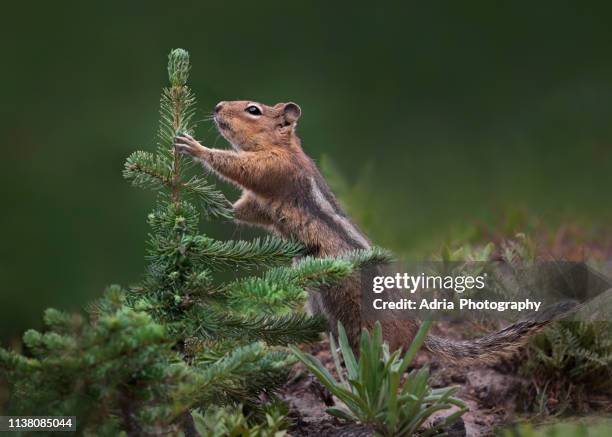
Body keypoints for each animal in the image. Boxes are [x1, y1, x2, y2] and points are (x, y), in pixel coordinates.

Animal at [175, 99, 560, 362]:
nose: (217, 107)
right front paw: (213, 206)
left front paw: (194, 147)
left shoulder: (272, 170)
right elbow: (244, 211)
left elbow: (236, 167)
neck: (282, 145)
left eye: (253, 109)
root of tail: (417, 328)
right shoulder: (260, 203)